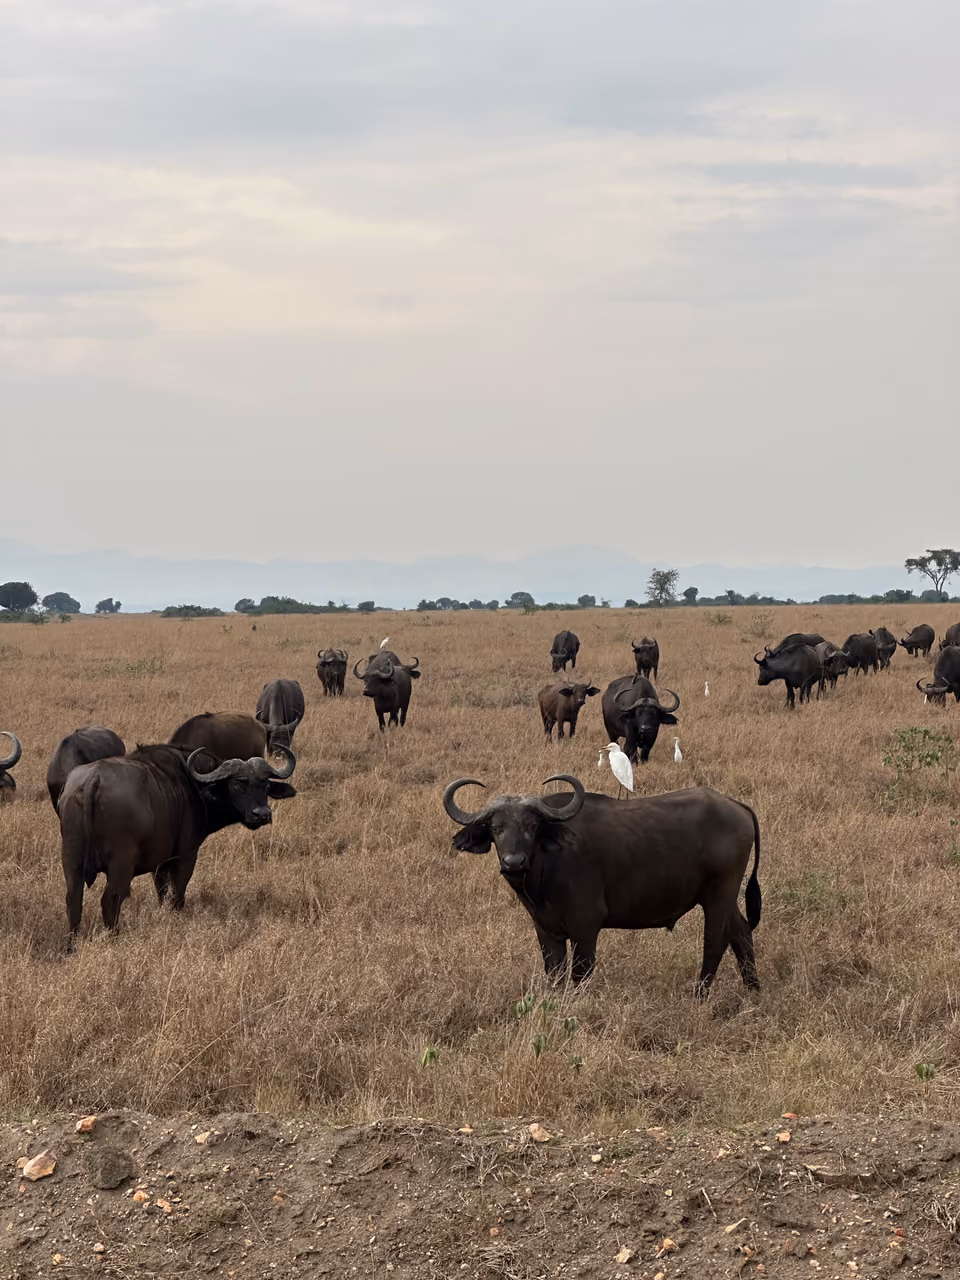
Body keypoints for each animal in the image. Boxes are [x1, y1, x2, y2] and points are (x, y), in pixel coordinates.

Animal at [59, 744, 297, 937]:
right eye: (238, 785)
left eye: (266, 786)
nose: (262, 814)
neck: (192, 787)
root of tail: (93, 779)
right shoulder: (186, 856)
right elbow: (178, 895)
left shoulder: (159, 865)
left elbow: (162, 893)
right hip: (121, 864)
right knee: (111, 899)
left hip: (71, 861)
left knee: (73, 901)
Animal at [443, 773, 762, 995]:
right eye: (496, 828)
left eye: (532, 826)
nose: (513, 862)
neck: (547, 868)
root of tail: (735, 806)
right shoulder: (546, 930)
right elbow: (555, 973)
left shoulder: (586, 926)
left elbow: (581, 972)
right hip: (722, 897)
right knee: (741, 933)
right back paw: (753, 990)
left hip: (719, 894)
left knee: (715, 941)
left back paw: (700, 995)